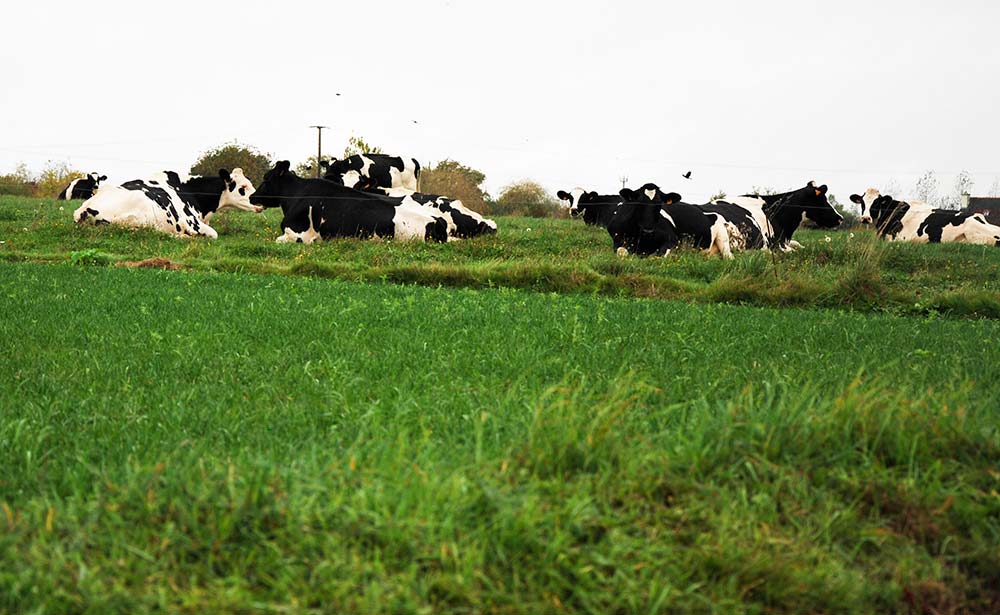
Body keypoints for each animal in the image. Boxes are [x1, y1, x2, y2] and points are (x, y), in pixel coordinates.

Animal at [608, 184, 736, 258]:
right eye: (639, 203)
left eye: (659, 204)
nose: (648, 231)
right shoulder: (617, 240)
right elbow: (622, 252)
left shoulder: (673, 239)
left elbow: (660, 255)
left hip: (723, 238)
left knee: (729, 257)